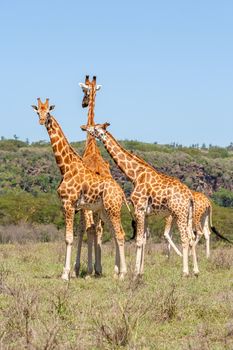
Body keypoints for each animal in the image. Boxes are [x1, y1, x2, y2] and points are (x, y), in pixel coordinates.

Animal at [31, 99, 127, 282]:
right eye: (37, 111)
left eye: (48, 112)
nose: (41, 121)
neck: (65, 167)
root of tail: (122, 193)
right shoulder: (72, 206)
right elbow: (76, 235)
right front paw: (71, 272)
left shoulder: (68, 204)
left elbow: (69, 238)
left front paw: (65, 274)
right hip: (104, 210)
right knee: (117, 233)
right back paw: (117, 273)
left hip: (112, 209)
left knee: (119, 234)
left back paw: (123, 274)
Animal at [80, 123, 198, 276]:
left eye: (95, 128)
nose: (83, 127)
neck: (135, 175)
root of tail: (189, 196)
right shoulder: (146, 213)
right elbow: (144, 240)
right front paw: (141, 271)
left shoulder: (139, 208)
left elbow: (138, 240)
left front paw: (135, 272)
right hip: (188, 215)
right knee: (192, 237)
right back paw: (196, 271)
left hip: (179, 213)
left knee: (185, 238)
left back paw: (185, 272)